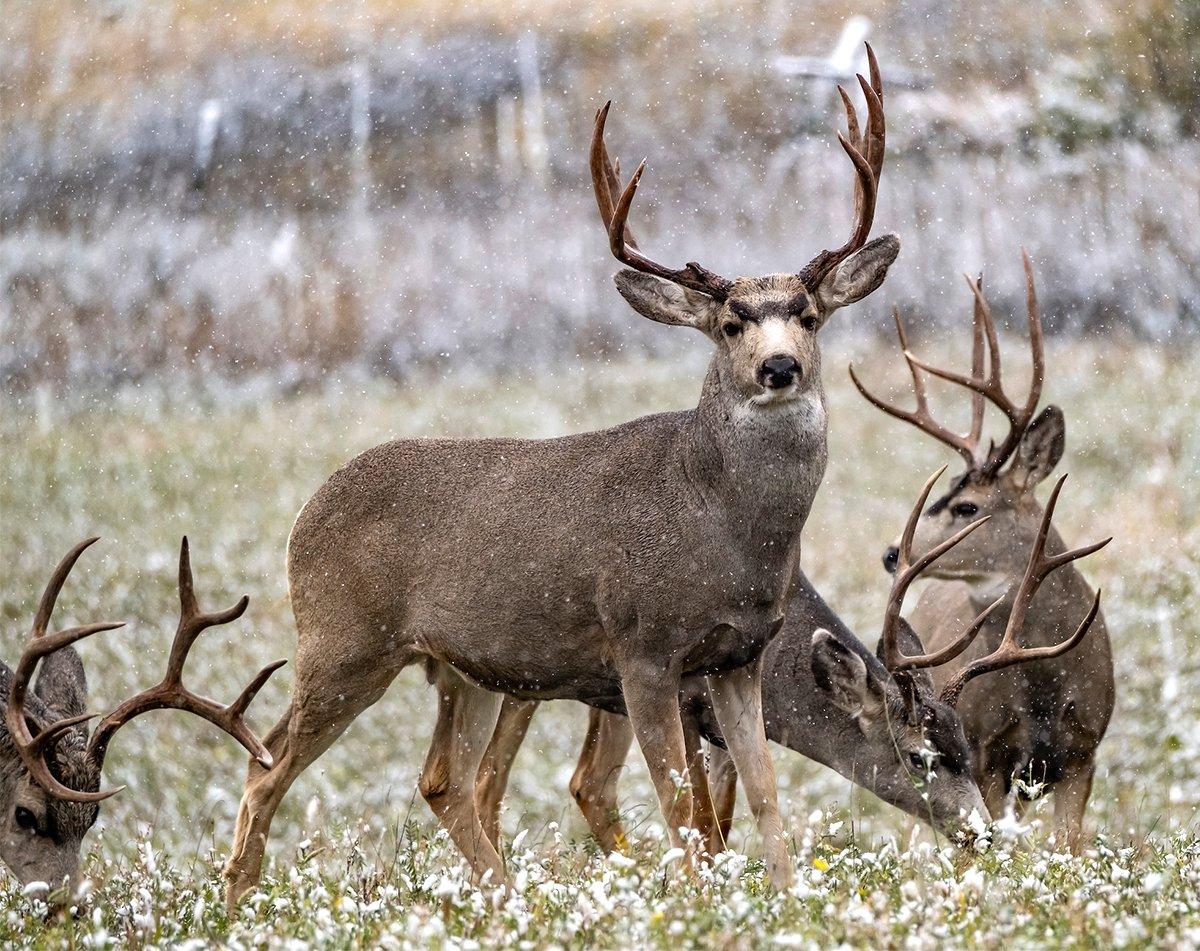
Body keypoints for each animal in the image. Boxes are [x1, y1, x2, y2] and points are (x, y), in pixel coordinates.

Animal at [225, 46, 902, 907]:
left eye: (809, 315)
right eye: (729, 324)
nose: (779, 366)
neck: (720, 521)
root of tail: (304, 513)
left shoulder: (739, 654)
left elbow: (764, 795)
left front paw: (783, 900)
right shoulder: (641, 646)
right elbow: (679, 808)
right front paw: (698, 905)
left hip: (463, 666)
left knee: (439, 779)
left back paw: (503, 899)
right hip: (342, 641)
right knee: (265, 764)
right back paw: (236, 900)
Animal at [854, 255, 1113, 850]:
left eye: (966, 506)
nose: (891, 553)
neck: (1044, 681)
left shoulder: (1084, 750)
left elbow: (1070, 846)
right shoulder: (985, 750)